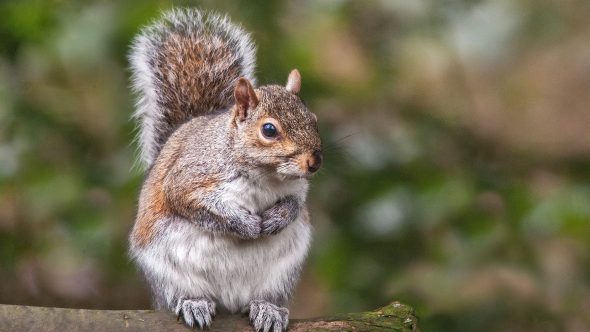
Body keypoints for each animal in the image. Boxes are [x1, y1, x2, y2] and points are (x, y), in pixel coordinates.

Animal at [127, 7, 324, 332]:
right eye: (269, 130)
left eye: (313, 119)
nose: (314, 162)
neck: (265, 175)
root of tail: (228, 300)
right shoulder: (189, 177)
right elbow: (191, 201)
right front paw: (244, 224)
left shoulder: (298, 186)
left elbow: (296, 204)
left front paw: (277, 218)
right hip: (167, 271)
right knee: (178, 294)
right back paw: (193, 302)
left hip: (281, 275)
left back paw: (268, 309)